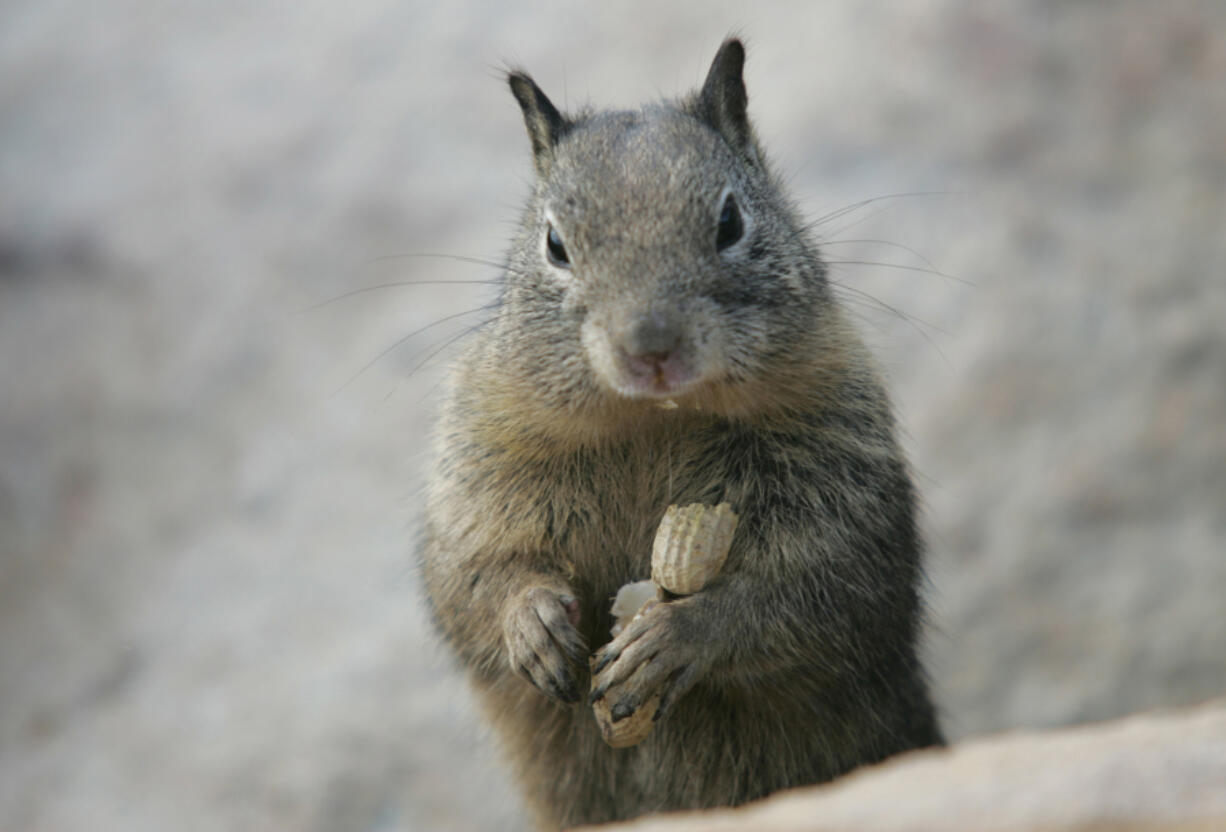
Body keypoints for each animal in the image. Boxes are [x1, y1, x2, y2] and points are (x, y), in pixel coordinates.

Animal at [416, 39, 941, 832]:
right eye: (554, 243)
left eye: (730, 222)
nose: (651, 347)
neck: (654, 422)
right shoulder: (483, 467)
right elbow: (475, 574)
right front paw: (531, 621)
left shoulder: (841, 476)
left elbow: (804, 594)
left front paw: (675, 637)